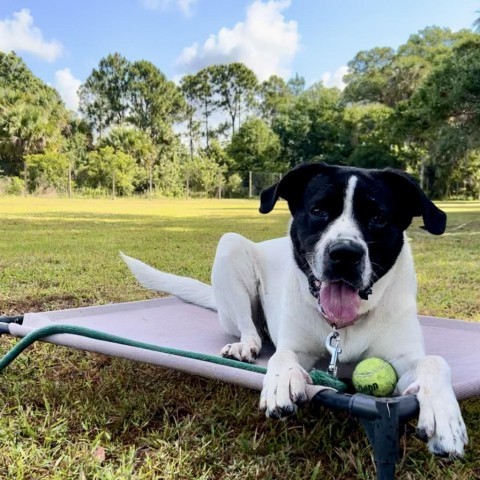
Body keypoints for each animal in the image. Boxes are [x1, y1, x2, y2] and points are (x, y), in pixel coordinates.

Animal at [121, 164, 468, 458]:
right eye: (318, 211)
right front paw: (282, 380)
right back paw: (246, 345)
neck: (342, 325)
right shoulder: (296, 346)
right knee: (250, 328)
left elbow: (435, 363)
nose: (344, 254)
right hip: (230, 248)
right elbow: (282, 355)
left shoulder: (403, 359)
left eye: (378, 217)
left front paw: (445, 417)